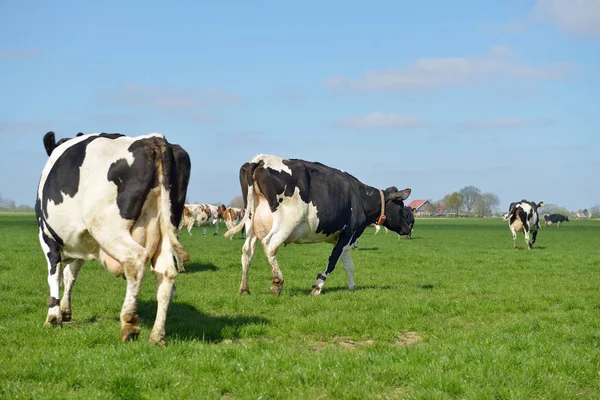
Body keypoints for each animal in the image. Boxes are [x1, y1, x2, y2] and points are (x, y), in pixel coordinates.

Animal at [35, 131, 190, 344]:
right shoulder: (81, 243)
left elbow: (54, 275)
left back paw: (129, 323)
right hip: (166, 230)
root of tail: (154, 139)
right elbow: (69, 275)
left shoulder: (47, 239)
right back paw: (157, 336)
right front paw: (65, 311)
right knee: (166, 273)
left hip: (109, 229)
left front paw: (53, 316)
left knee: (135, 260)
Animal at [224, 155, 412, 296]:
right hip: (286, 222)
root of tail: (261, 159)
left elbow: (348, 263)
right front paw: (317, 286)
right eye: (401, 206)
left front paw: (352, 286)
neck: (362, 197)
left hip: (252, 224)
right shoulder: (349, 232)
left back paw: (244, 289)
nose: (408, 229)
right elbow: (333, 261)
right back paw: (277, 283)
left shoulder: (343, 238)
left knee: (247, 252)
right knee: (270, 245)